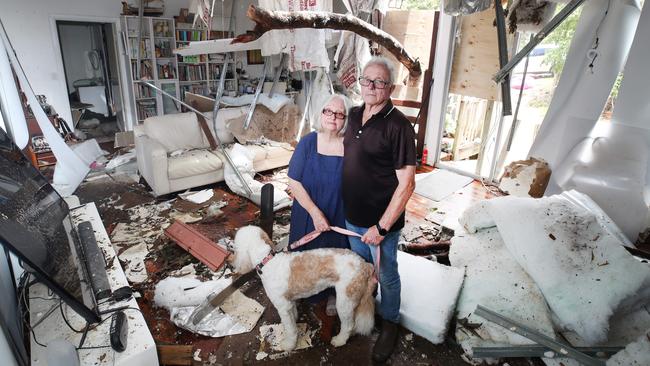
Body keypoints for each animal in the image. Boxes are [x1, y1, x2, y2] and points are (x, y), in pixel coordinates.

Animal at [229, 224, 374, 350]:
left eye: (235, 247)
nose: (231, 263)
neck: (267, 261)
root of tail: (365, 265)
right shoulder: (289, 302)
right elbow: (293, 316)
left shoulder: (283, 307)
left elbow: (290, 328)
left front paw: (289, 344)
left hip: (345, 301)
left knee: (348, 324)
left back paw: (340, 340)